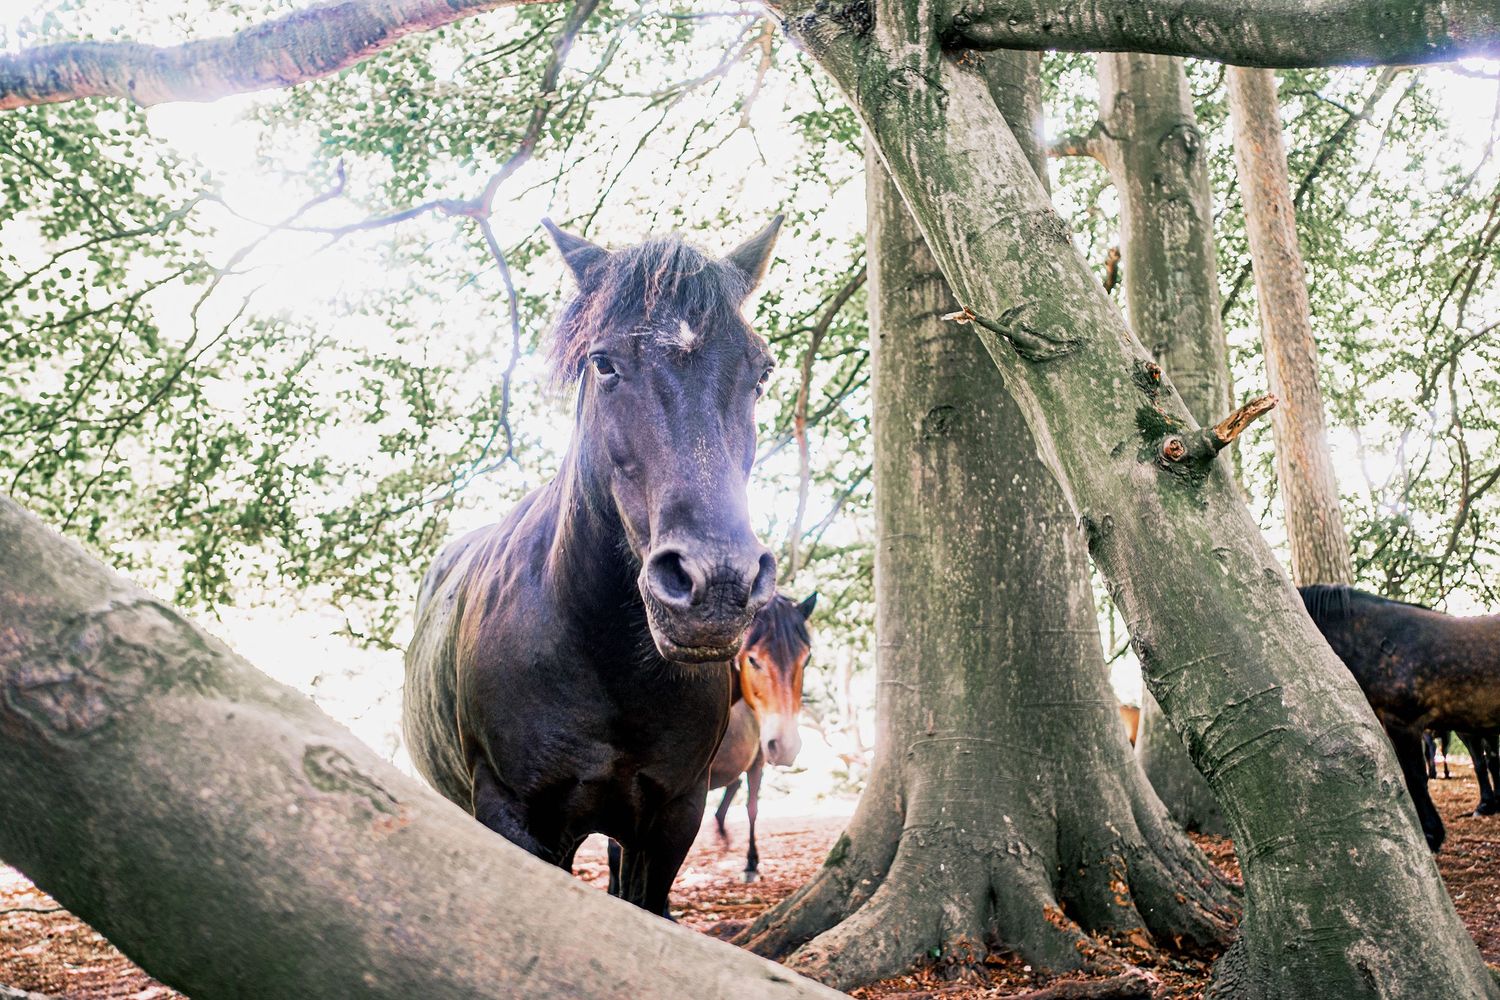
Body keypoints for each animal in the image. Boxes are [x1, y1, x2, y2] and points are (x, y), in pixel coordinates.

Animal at [403, 216, 783, 916]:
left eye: (761, 371)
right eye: (603, 363)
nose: (718, 585)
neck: (606, 663)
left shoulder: (671, 818)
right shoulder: (514, 815)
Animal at [709, 591, 816, 882]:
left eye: (806, 659)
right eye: (753, 659)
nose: (786, 745)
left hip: (756, 760)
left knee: (750, 805)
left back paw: (749, 861)